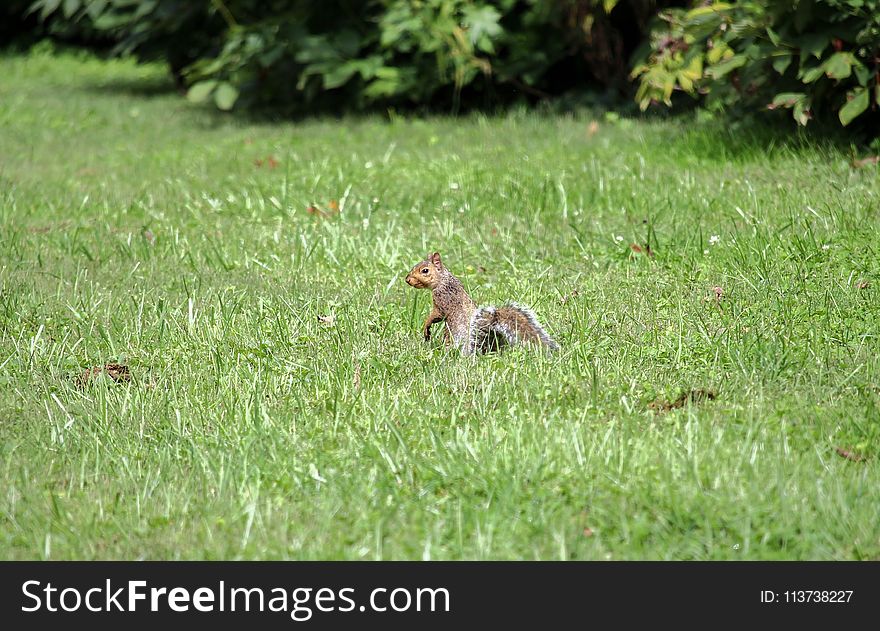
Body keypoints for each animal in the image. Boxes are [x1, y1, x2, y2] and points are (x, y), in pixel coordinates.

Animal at [404, 252, 556, 356]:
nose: (407, 280)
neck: (443, 280)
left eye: (425, 270)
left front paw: (426, 326)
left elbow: (436, 315)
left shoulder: (443, 300)